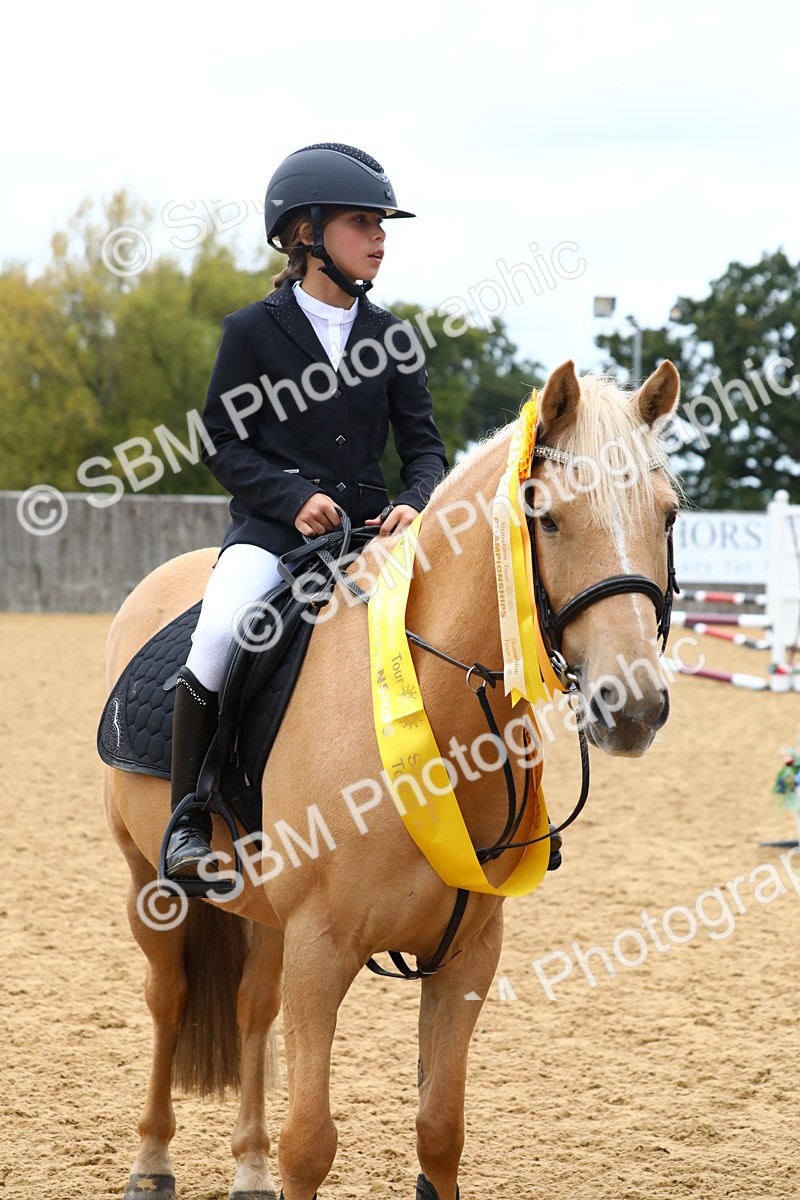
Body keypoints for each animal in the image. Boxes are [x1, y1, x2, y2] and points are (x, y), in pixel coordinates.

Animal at [103, 359, 681, 1200]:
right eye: (544, 517)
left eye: (668, 516)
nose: (632, 705)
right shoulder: (321, 949)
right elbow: (310, 1144)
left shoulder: (468, 953)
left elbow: (439, 1132)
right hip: (150, 880)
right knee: (170, 997)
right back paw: (151, 1162)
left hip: (263, 911)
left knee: (250, 1007)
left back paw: (247, 1166)